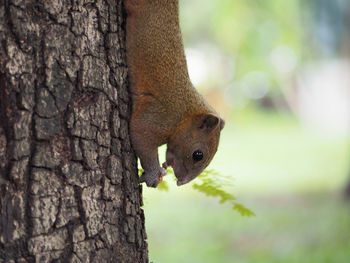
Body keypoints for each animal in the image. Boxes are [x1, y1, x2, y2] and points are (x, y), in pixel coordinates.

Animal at [125, 0, 224, 188]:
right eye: (198, 155)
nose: (181, 182)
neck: (184, 117)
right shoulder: (160, 117)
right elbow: (140, 134)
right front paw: (153, 174)